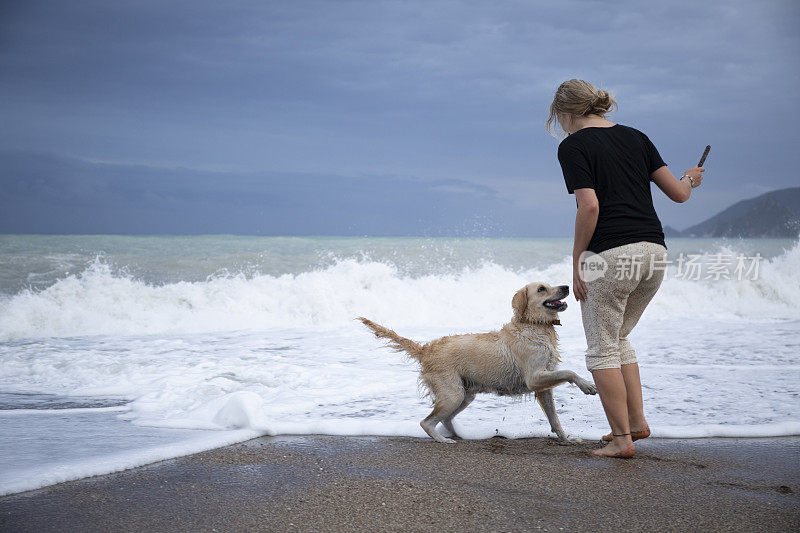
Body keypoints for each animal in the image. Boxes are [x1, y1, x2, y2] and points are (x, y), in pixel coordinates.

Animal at [360, 282, 596, 440]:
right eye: (541, 289)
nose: (566, 286)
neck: (534, 325)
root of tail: (426, 349)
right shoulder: (534, 377)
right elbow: (569, 372)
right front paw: (587, 385)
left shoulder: (544, 386)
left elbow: (554, 418)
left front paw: (566, 438)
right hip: (453, 393)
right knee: (426, 422)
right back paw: (443, 439)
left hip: (465, 394)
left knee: (444, 419)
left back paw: (460, 434)